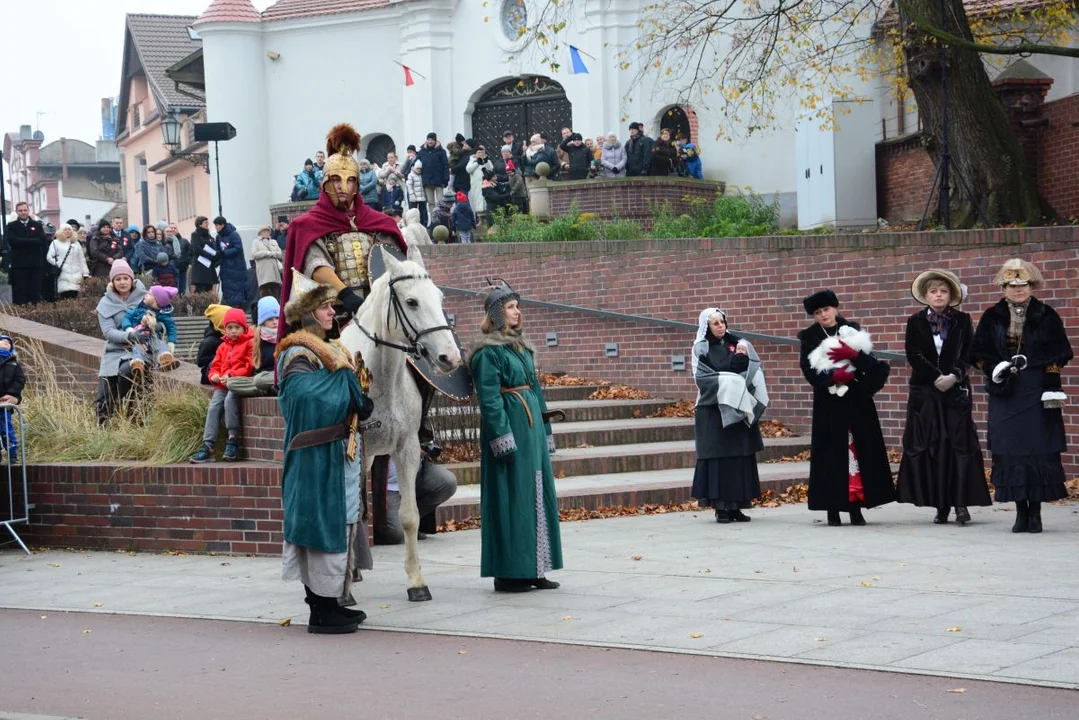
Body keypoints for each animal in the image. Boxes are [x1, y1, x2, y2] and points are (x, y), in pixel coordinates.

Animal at [338, 245, 461, 600]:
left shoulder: (406, 449)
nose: (450, 358)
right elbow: (350, 513)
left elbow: (409, 517)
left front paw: (417, 582)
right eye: (411, 301)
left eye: (440, 297)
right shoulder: (356, 450)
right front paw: (345, 588)